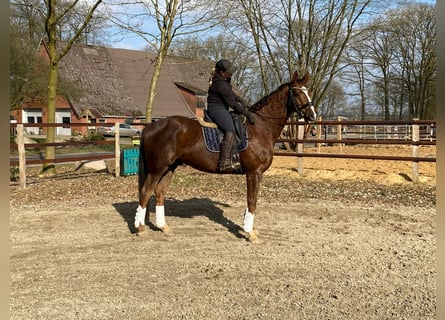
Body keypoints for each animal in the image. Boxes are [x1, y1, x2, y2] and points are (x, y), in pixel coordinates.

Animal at [134, 70, 316, 240]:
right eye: (297, 93)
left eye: (308, 91)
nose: (312, 115)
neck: (259, 127)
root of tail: (150, 127)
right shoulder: (254, 172)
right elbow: (252, 201)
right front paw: (250, 233)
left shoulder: (254, 174)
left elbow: (251, 200)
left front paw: (247, 227)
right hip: (158, 168)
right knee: (146, 191)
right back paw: (141, 228)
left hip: (170, 167)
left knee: (159, 192)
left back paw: (163, 226)